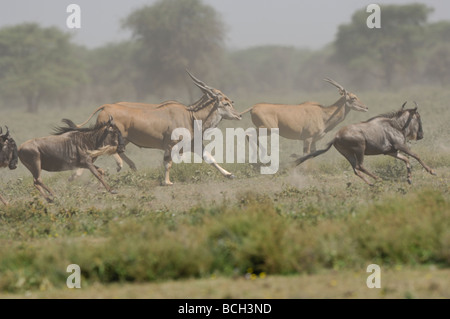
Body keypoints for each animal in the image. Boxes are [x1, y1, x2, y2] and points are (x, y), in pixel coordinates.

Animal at [76, 70, 243, 185]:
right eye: (226, 103)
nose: (239, 115)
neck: (191, 116)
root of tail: (105, 107)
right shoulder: (170, 145)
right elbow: (168, 163)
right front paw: (167, 182)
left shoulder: (194, 145)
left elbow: (210, 159)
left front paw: (230, 175)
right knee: (97, 152)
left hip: (125, 140)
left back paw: (130, 166)